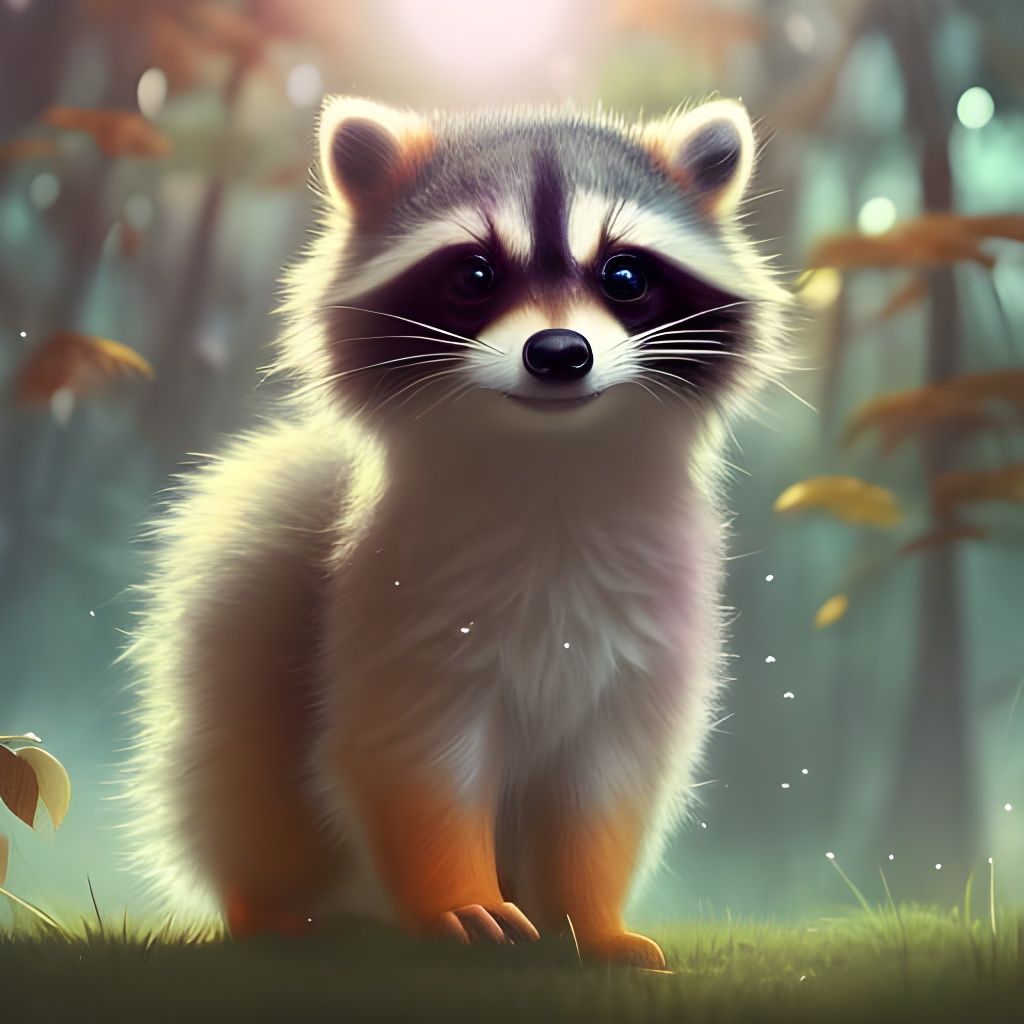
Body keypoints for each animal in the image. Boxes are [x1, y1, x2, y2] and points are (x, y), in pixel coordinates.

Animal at [122, 96, 788, 968]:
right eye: (475, 276)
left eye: (625, 276)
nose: (560, 353)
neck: (549, 463)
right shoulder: (396, 612)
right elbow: (415, 765)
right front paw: (456, 898)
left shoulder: (650, 635)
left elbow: (603, 790)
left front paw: (590, 919)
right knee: (245, 786)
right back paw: (264, 904)